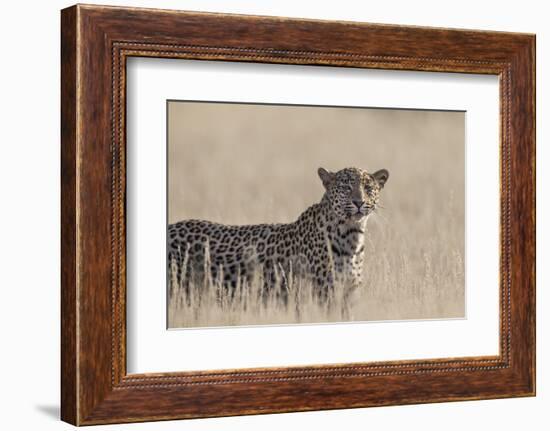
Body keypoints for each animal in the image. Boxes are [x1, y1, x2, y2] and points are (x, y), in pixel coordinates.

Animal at [167, 166, 388, 318]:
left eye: (368, 188)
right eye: (345, 187)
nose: (358, 202)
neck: (351, 236)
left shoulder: (348, 296)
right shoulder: (323, 295)